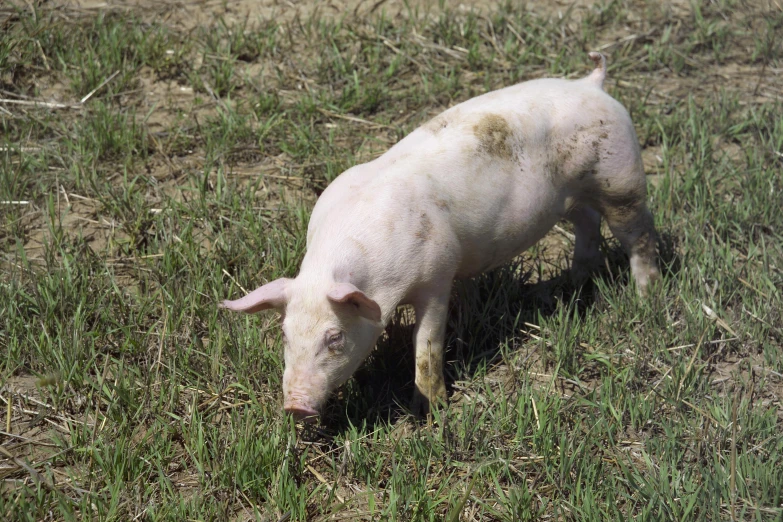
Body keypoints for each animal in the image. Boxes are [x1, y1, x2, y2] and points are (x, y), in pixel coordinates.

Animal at [222, 52, 660, 418]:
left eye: (335, 337)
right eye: (284, 334)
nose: (295, 407)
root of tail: (593, 83)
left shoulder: (437, 274)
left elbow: (428, 345)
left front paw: (431, 410)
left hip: (621, 178)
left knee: (638, 236)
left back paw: (644, 297)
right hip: (572, 197)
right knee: (588, 224)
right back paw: (564, 287)